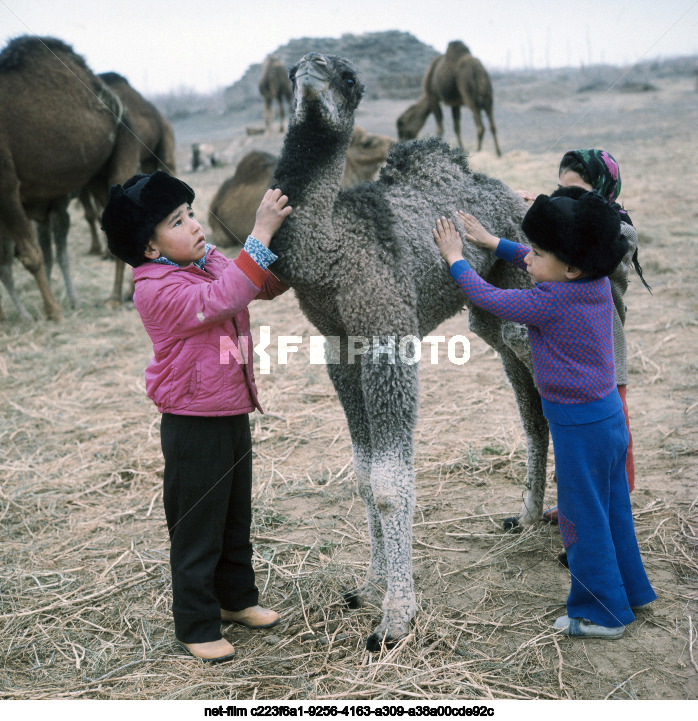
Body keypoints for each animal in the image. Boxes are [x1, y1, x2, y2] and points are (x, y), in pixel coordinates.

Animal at [0, 36, 140, 321]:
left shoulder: (6, 184)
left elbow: (32, 255)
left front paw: (53, 311)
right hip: (98, 179)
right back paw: (125, 293)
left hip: (123, 147)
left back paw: (115, 298)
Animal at [268, 52, 548, 650]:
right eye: (295, 68)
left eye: (349, 77)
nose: (312, 66)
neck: (331, 252)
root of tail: (516, 198)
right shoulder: (341, 349)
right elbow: (363, 475)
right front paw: (369, 587)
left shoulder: (387, 338)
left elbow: (390, 485)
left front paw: (396, 618)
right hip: (491, 313)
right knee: (531, 405)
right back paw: (530, 514)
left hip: (523, 284)